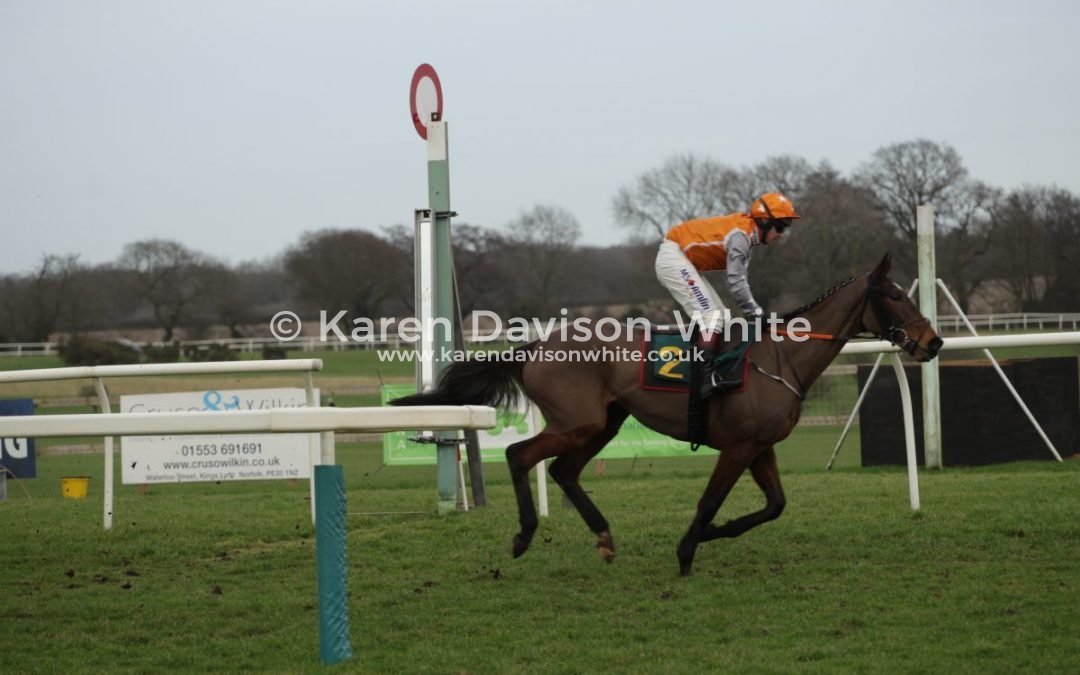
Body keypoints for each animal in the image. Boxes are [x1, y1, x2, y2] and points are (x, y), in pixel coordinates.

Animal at [393, 252, 941, 574]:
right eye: (894, 295)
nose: (933, 343)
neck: (780, 358)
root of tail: (534, 346)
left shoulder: (759, 446)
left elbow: (774, 506)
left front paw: (714, 535)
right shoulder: (738, 446)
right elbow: (710, 500)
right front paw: (686, 551)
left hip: (604, 424)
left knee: (563, 470)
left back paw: (604, 537)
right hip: (579, 422)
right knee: (520, 455)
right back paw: (525, 534)